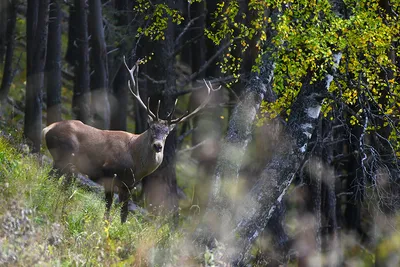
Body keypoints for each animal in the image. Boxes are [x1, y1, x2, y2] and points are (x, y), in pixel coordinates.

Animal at [42, 59, 220, 224]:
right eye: (151, 128)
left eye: (166, 133)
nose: (158, 146)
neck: (135, 163)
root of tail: (47, 129)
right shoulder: (110, 173)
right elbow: (110, 207)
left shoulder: (128, 185)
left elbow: (123, 213)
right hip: (64, 155)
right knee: (50, 178)